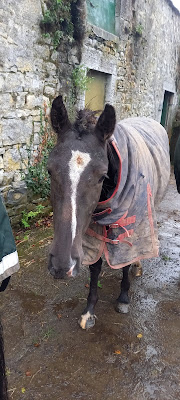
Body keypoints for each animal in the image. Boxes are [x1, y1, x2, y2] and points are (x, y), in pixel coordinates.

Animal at [47, 95, 170, 330]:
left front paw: (123, 298)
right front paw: (89, 310)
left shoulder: (130, 226)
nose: (61, 266)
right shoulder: (90, 233)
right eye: (49, 170)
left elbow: (125, 260)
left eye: (101, 176)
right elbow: (95, 267)